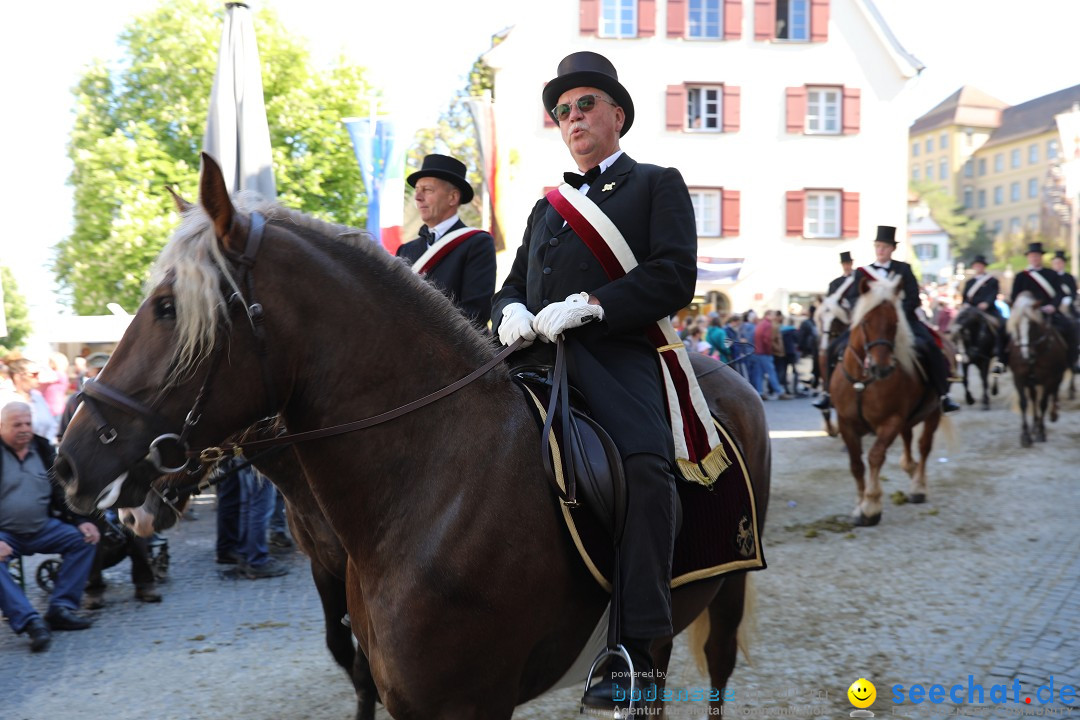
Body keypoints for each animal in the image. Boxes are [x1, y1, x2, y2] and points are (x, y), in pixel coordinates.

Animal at [52, 155, 768, 716]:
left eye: (168, 308)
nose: (70, 464)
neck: (433, 487)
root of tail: (720, 370)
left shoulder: (470, 702)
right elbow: (349, 660)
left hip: (724, 592)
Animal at [825, 274, 946, 524]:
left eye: (895, 323)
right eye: (865, 322)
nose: (882, 368)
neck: (863, 380)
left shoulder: (890, 421)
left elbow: (875, 456)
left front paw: (871, 505)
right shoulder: (846, 423)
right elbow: (856, 464)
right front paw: (859, 504)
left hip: (933, 412)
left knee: (924, 445)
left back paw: (918, 486)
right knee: (909, 439)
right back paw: (910, 467)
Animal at [1006, 293, 1067, 444]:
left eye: (1032, 325)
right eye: (1015, 325)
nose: (1026, 355)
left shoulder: (1049, 379)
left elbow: (1043, 403)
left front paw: (1041, 432)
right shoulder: (1019, 378)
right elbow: (1023, 403)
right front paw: (1026, 435)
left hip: (1056, 377)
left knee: (1053, 393)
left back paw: (1052, 415)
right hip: (1032, 382)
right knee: (1033, 399)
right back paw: (1034, 425)